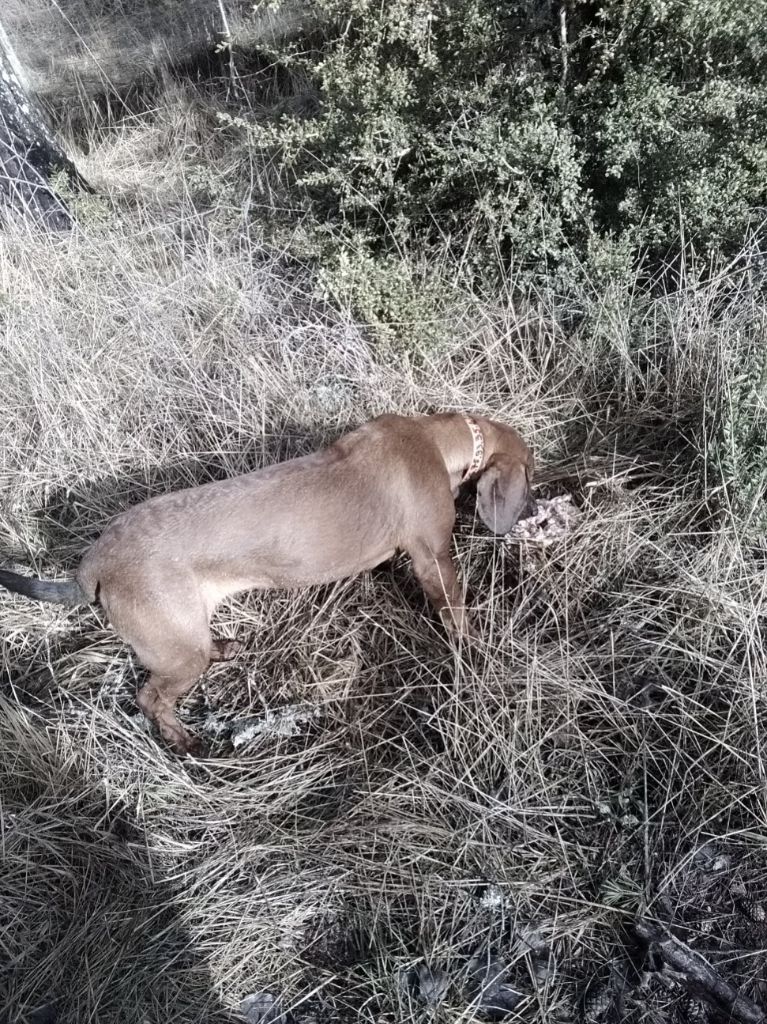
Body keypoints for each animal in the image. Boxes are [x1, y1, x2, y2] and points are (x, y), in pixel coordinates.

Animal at [1, 411, 532, 757]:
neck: (436, 438)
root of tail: (94, 562)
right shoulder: (433, 558)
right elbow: (455, 610)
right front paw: (475, 654)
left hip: (184, 636)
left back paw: (225, 650)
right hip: (177, 652)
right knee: (150, 699)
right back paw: (184, 741)